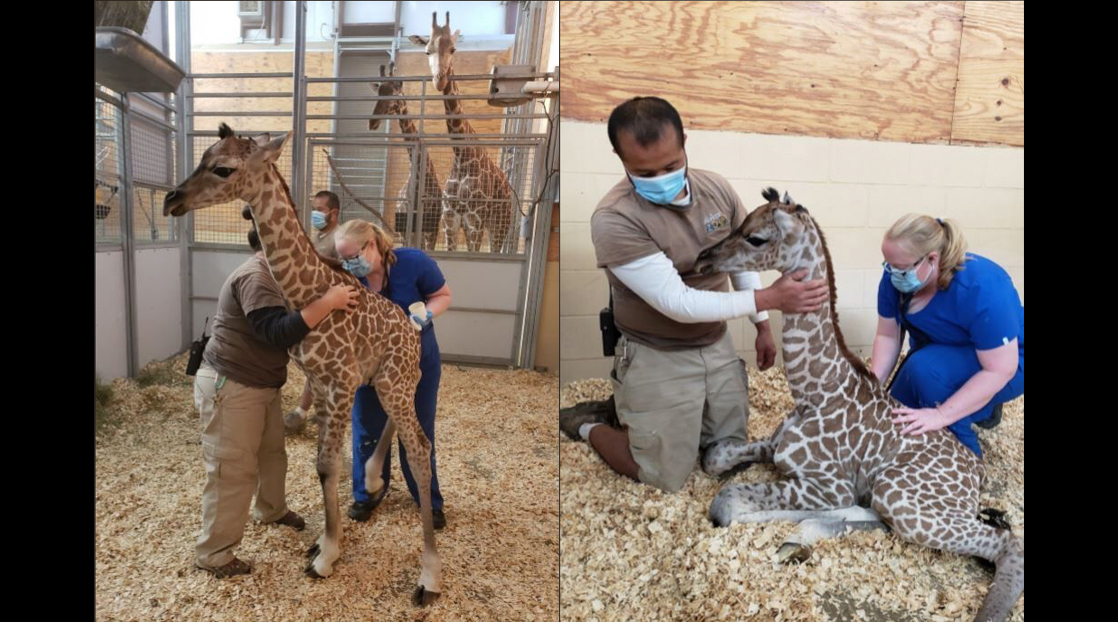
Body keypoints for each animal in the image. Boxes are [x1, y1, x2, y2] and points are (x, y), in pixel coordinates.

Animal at [163, 123, 441, 606]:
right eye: (203, 157)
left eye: (223, 168)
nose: (171, 199)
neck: (309, 290)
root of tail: (413, 328)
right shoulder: (327, 382)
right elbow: (322, 465)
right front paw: (327, 544)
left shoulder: (341, 382)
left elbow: (329, 464)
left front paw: (326, 557)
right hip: (386, 380)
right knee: (395, 426)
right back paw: (371, 480)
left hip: (393, 381)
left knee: (421, 449)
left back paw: (429, 577)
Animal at [369, 62, 443, 251]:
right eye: (379, 92)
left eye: (395, 92)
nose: (372, 122)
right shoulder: (409, 229)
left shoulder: (431, 230)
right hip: (406, 232)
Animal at [409, 11, 517, 253]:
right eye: (427, 50)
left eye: (453, 49)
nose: (439, 80)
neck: (462, 155)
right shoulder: (450, 219)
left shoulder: (475, 219)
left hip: (500, 224)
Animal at [691, 188, 1023, 622]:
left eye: (756, 238)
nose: (702, 259)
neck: (814, 393)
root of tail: (977, 472)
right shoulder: (775, 448)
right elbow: (715, 456)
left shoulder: (830, 485)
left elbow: (726, 503)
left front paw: (756, 518)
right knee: (881, 520)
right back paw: (798, 538)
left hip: (900, 493)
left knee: (1004, 541)